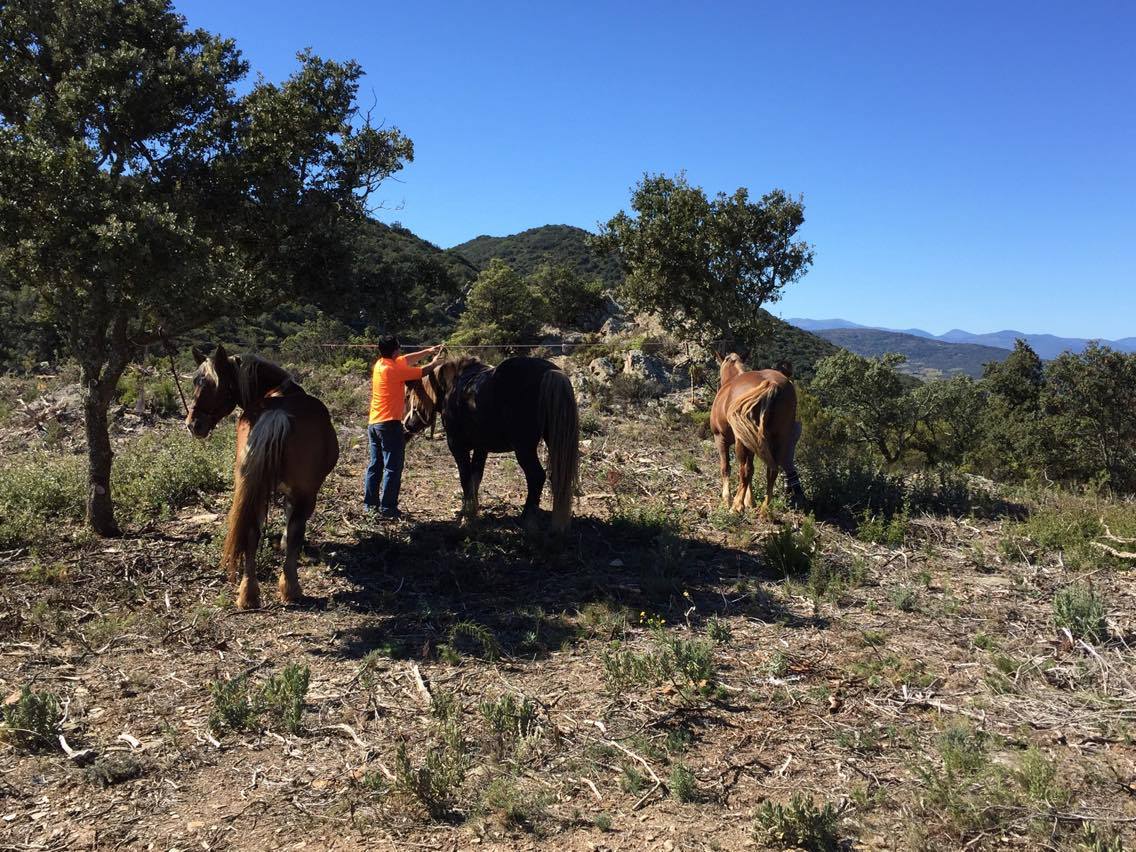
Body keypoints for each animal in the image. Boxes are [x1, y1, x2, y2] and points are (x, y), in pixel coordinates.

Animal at [186, 345, 339, 609]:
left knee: (250, 533)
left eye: (214, 385)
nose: (193, 424)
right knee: (295, 530)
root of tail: (277, 412)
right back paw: (291, 588)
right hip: (305, 494)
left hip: (252, 488)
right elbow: (291, 527)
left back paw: (248, 593)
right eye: (196, 382)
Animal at [403, 355, 579, 532]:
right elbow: (475, 479)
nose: (407, 425)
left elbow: (466, 478)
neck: (453, 387)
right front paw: (471, 512)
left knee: (536, 476)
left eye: (411, 396)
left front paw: (466, 516)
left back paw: (527, 519)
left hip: (524, 449)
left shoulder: (457, 446)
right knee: (556, 477)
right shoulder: (481, 448)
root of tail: (551, 372)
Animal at [709, 351, 798, 517]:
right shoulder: (752, 441)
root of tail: (772, 383)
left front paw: (727, 500)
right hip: (778, 438)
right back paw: (765, 508)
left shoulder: (720, 439)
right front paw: (749, 501)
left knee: (744, 470)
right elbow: (752, 470)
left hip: (741, 441)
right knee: (771, 471)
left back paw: (736, 506)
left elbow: (726, 468)